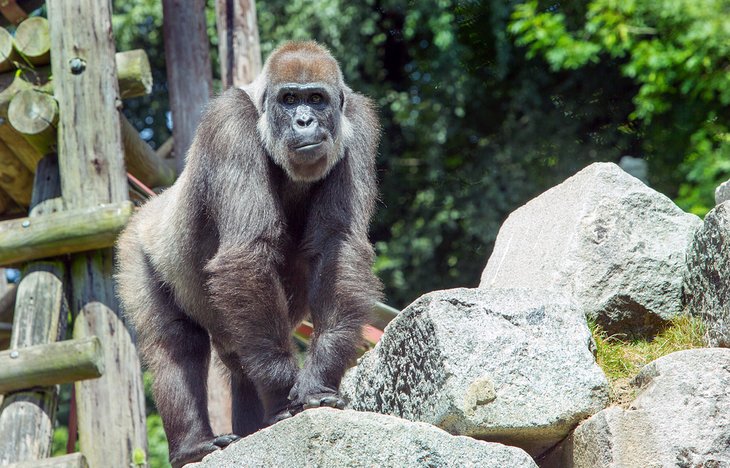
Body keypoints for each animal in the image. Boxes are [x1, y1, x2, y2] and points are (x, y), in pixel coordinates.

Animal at [115, 42, 382, 466]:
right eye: (289, 100)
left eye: (316, 99)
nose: (304, 121)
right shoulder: (230, 124)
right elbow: (247, 251)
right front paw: (284, 394)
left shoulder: (358, 120)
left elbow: (336, 245)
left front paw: (318, 379)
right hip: (136, 246)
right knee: (176, 343)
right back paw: (193, 446)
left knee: (240, 358)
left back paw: (251, 429)